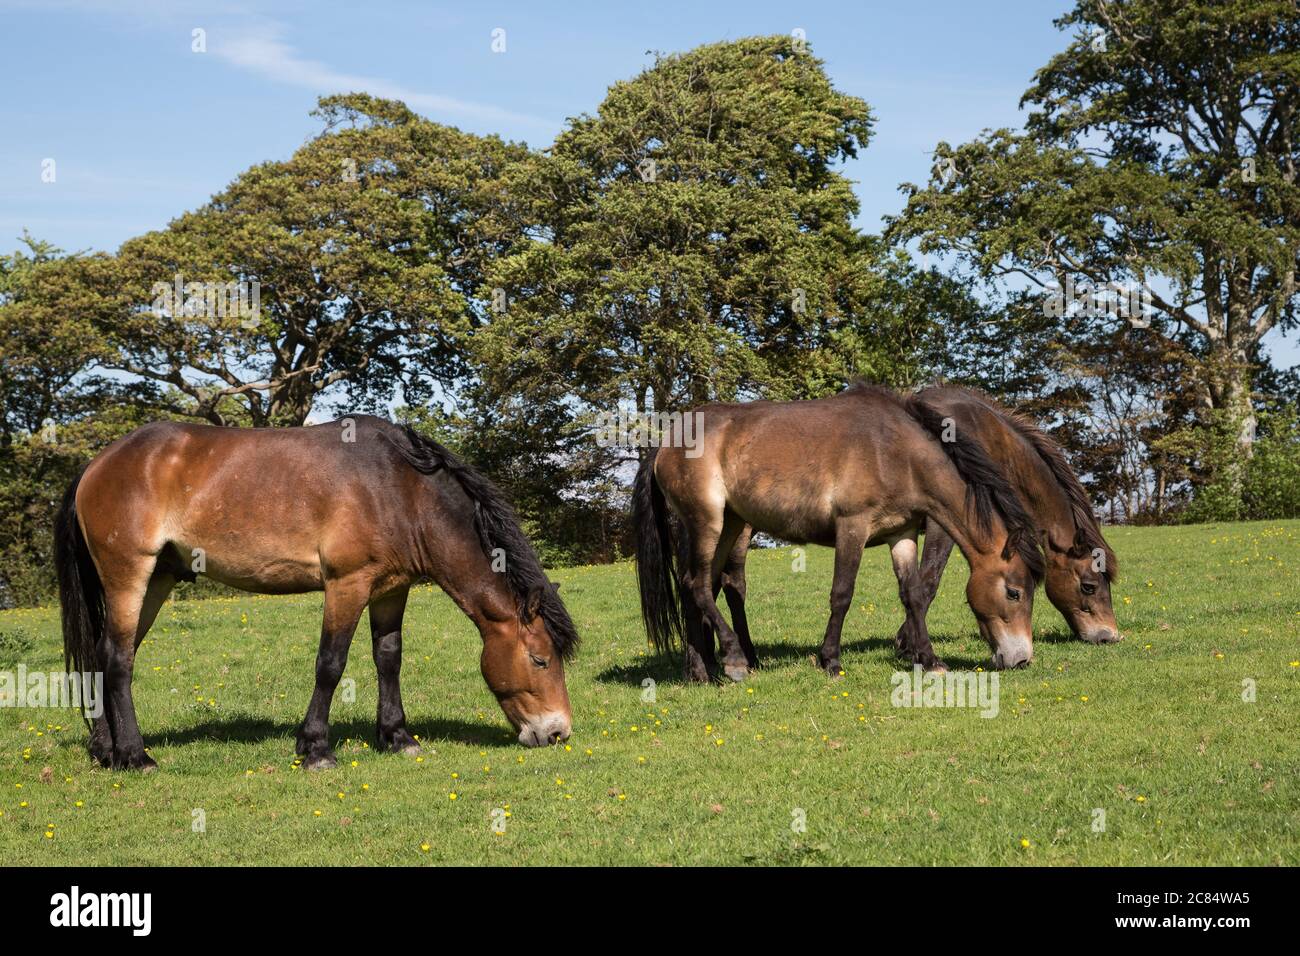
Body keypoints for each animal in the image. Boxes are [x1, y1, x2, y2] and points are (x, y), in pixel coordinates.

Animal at [54, 416, 574, 770]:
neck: (398, 487)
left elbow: (389, 658)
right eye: (540, 659)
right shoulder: (347, 584)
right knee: (118, 659)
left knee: (104, 655)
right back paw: (135, 755)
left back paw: (105, 749)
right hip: (129, 578)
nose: (557, 733)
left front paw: (398, 737)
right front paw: (316, 748)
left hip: (157, 581)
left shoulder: (391, 589)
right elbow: (331, 664)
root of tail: (96, 465)